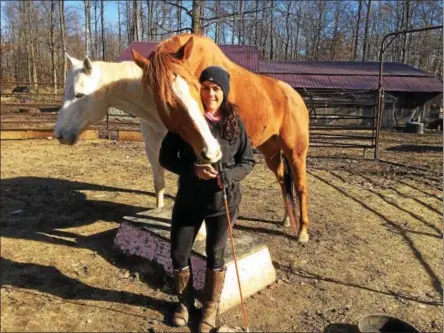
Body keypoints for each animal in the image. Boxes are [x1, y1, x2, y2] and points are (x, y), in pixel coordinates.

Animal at [133, 34, 308, 241]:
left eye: (196, 87)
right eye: (165, 102)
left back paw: (302, 232)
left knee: (300, 186)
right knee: (283, 181)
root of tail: (295, 95)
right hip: (271, 151)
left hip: (296, 152)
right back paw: (287, 220)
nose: (213, 150)